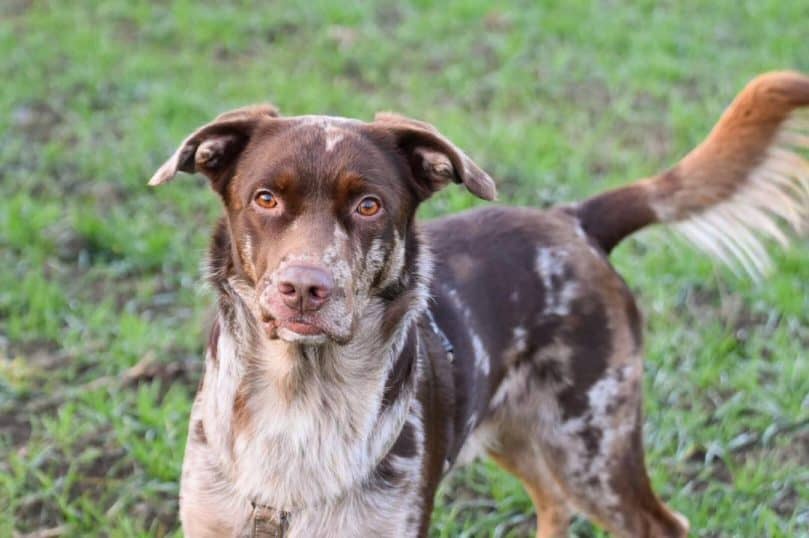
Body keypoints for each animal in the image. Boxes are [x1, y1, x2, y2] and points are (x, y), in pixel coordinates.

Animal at [148, 72, 808, 536]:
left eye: (368, 205)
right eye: (265, 198)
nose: (306, 288)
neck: (299, 400)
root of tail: (574, 220)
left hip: (593, 444)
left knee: (657, 522)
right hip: (516, 431)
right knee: (555, 505)